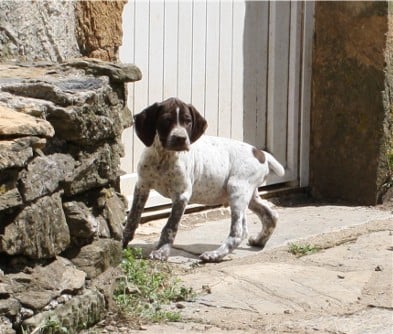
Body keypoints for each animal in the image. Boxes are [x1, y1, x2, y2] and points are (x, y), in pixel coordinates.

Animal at [121, 98, 284, 262]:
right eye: (166, 120)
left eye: (188, 121)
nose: (181, 138)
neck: (164, 156)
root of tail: (261, 154)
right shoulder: (142, 186)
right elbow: (132, 218)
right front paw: (123, 242)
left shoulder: (181, 195)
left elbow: (170, 226)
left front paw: (162, 251)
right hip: (249, 194)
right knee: (271, 216)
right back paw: (259, 241)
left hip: (237, 190)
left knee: (239, 231)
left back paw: (215, 254)